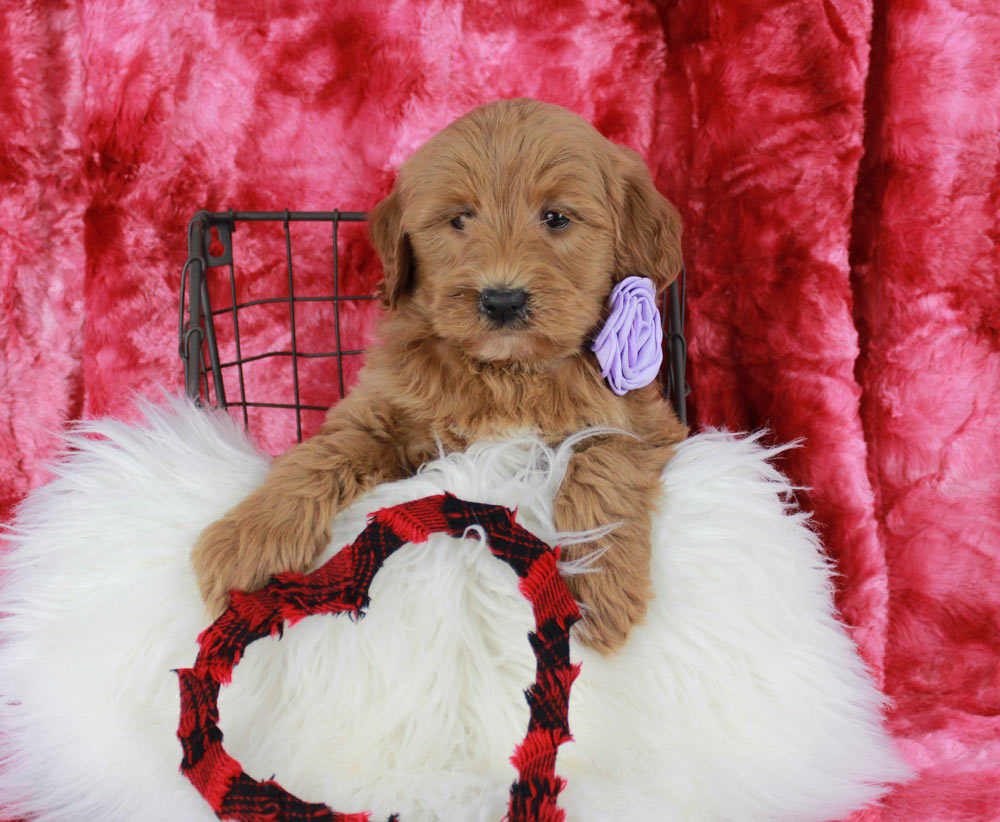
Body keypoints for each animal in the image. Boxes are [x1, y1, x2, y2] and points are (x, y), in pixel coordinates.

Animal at [191, 100, 684, 656]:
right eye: (460, 219)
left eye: (556, 218)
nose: (502, 300)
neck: (504, 372)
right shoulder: (381, 410)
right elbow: (319, 457)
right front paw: (248, 539)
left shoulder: (639, 421)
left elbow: (602, 468)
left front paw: (596, 580)